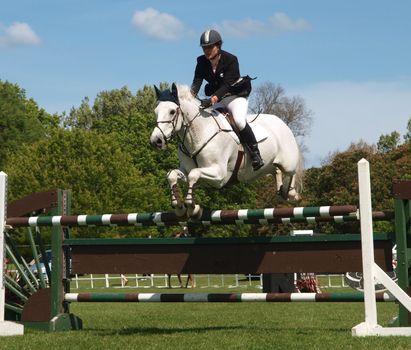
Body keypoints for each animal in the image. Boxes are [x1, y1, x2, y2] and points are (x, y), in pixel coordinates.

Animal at [150, 83, 302, 217]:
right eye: (156, 112)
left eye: (172, 111)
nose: (156, 141)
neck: (197, 134)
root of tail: (281, 122)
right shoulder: (188, 172)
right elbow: (172, 175)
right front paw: (179, 207)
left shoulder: (219, 175)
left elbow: (194, 174)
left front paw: (192, 208)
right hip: (268, 167)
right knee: (276, 170)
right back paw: (280, 192)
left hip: (288, 163)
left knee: (292, 172)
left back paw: (292, 194)